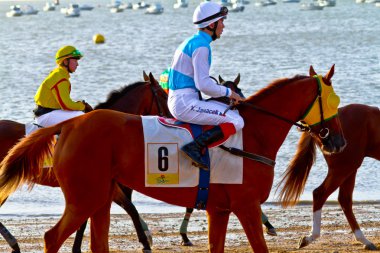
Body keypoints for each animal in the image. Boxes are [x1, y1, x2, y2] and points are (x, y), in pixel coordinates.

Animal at [0, 65, 346, 253]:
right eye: (334, 100)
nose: (339, 142)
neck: (254, 134)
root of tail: (70, 124)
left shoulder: (219, 209)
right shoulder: (245, 206)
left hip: (97, 199)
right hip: (86, 197)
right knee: (51, 237)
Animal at [276, 103, 380, 251]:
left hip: (349, 169)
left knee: (344, 199)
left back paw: (364, 240)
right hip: (343, 169)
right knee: (320, 194)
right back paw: (310, 237)